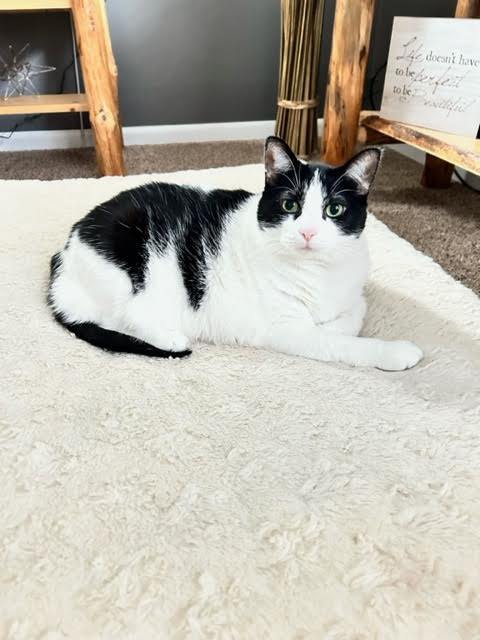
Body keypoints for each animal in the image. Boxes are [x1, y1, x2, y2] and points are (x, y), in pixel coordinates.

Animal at [47, 139, 424, 370]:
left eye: (334, 209)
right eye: (290, 205)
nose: (307, 232)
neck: (318, 272)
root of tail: (63, 258)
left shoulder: (351, 292)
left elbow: (356, 311)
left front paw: (338, 322)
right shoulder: (288, 330)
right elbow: (342, 343)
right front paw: (395, 350)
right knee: (127, 316)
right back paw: (171, 337)